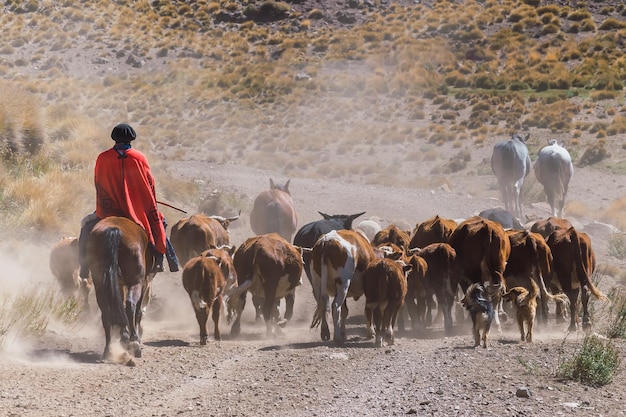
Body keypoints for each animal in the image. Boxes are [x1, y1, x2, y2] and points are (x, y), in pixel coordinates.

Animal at [85, 216, 156, 360]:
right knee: (130, 306)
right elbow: (137, 311)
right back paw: (134, 343)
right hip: (136, 282)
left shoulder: (118, 283)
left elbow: (119, 305)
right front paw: (132, 337)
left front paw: (123, 335)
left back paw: (108, 349)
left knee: (106, 311)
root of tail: (114, 229)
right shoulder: (144, 282)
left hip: (100, 282)